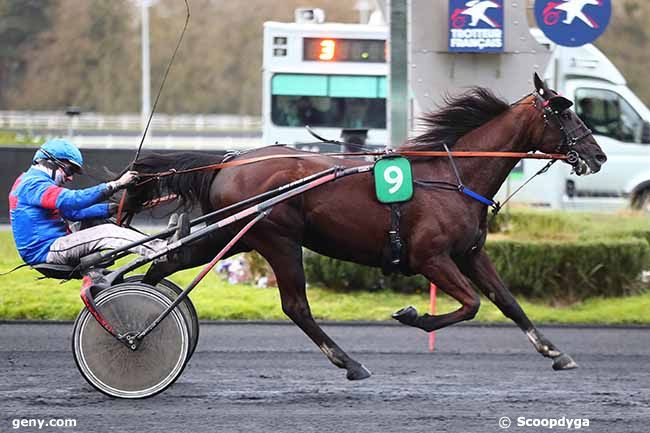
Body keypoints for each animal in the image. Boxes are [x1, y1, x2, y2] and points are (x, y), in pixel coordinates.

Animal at [124, 76, 604, 380]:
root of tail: (229, 161)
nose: (597, 156)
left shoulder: (471, 253)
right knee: (296, 307)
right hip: (277, 239)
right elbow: (471, 305)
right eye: (566, 115)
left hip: (230, 235)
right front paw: (413, 315)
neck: (453, 176)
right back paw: (349, 363)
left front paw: (556, 352)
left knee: (165, 264)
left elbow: (508, 302)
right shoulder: (430, 257)